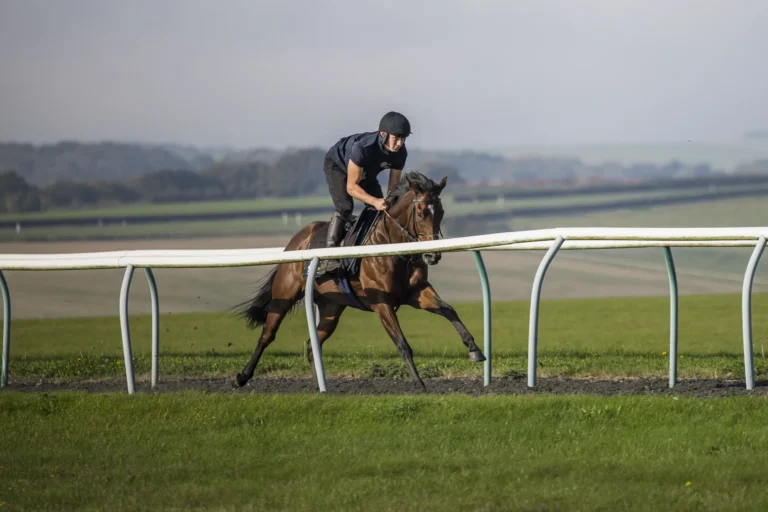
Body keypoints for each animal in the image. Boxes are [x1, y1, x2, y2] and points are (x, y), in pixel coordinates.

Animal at [232, 170, 486, 390]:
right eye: (421, 212)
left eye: (441, 212)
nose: (433, 255)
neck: (391, 247)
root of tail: (297, 239)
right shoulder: (381, 301)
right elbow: (402, 343)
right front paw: (419, 384)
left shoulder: (417, 292)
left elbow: (449, 310)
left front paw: (474, 350)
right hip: (285, 292)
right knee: (267, 334)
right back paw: (242, 377)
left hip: (332, 306)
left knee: (312, 344)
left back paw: (320, 387)